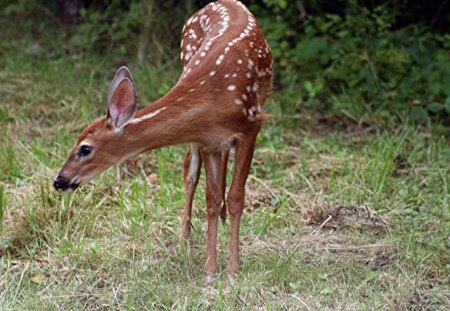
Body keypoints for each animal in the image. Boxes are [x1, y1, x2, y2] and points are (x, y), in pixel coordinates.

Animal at [52, 0, 270, 280]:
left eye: (85, 149)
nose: (59, 181)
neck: (212, 100)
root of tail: (222, 2)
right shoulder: (208, 139)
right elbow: (211, 199)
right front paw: (210, 269)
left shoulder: (251, 126)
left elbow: (235, 198)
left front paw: (233, 270)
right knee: (191, 171)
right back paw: (185, 238)